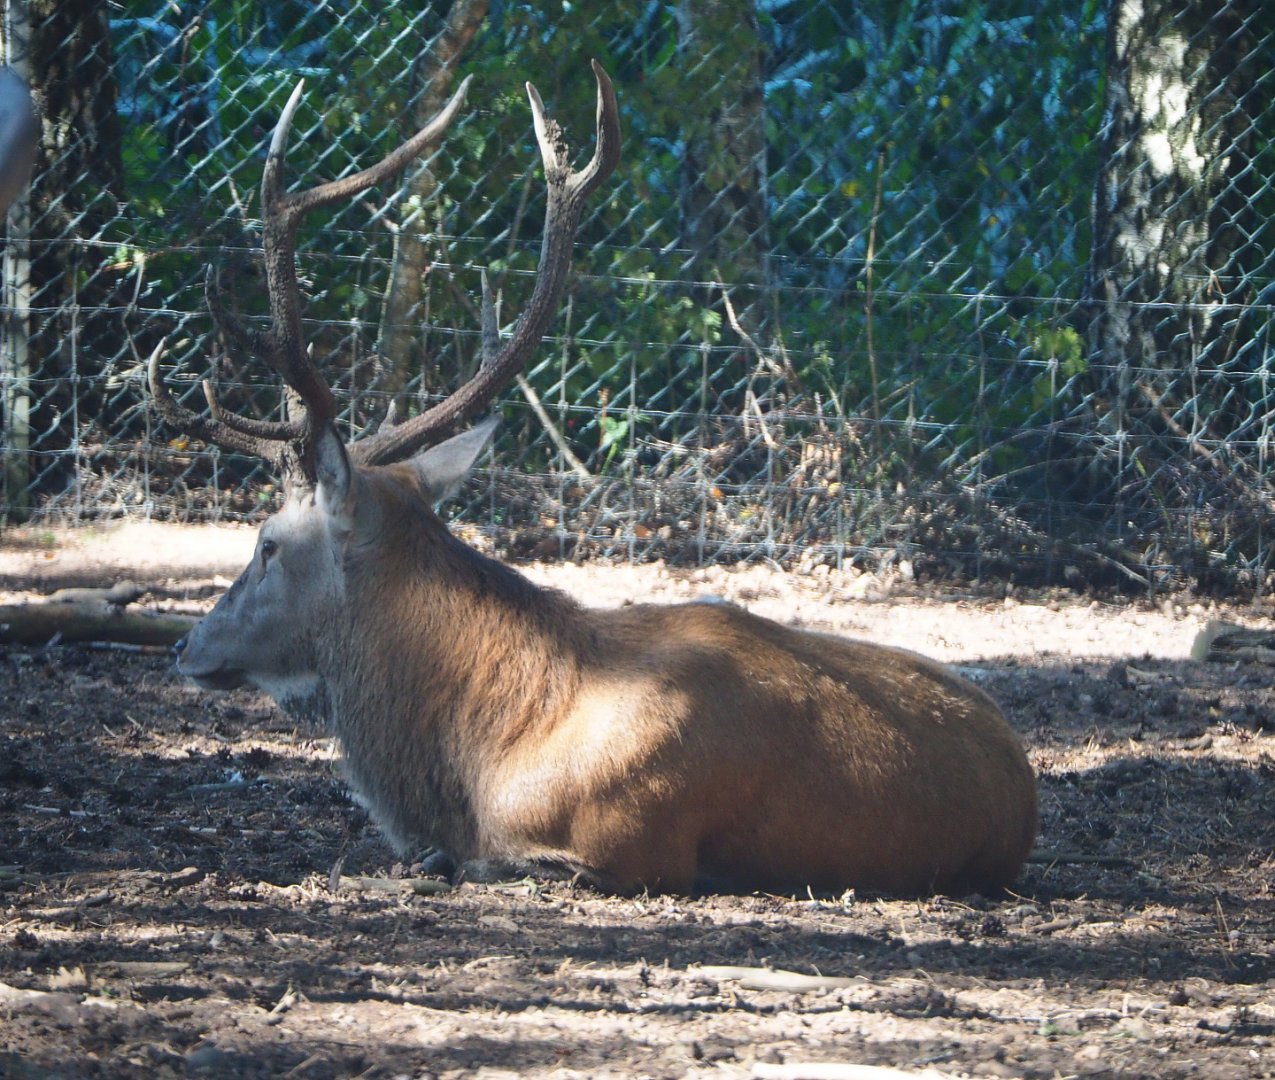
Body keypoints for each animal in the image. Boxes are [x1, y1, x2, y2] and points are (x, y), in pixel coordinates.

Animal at [150, 61, 1037, 897]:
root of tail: (1022, 782)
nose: (187, 646)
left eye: (266, 543)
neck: (486, 760)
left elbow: (465, 862)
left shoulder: (624, 848)